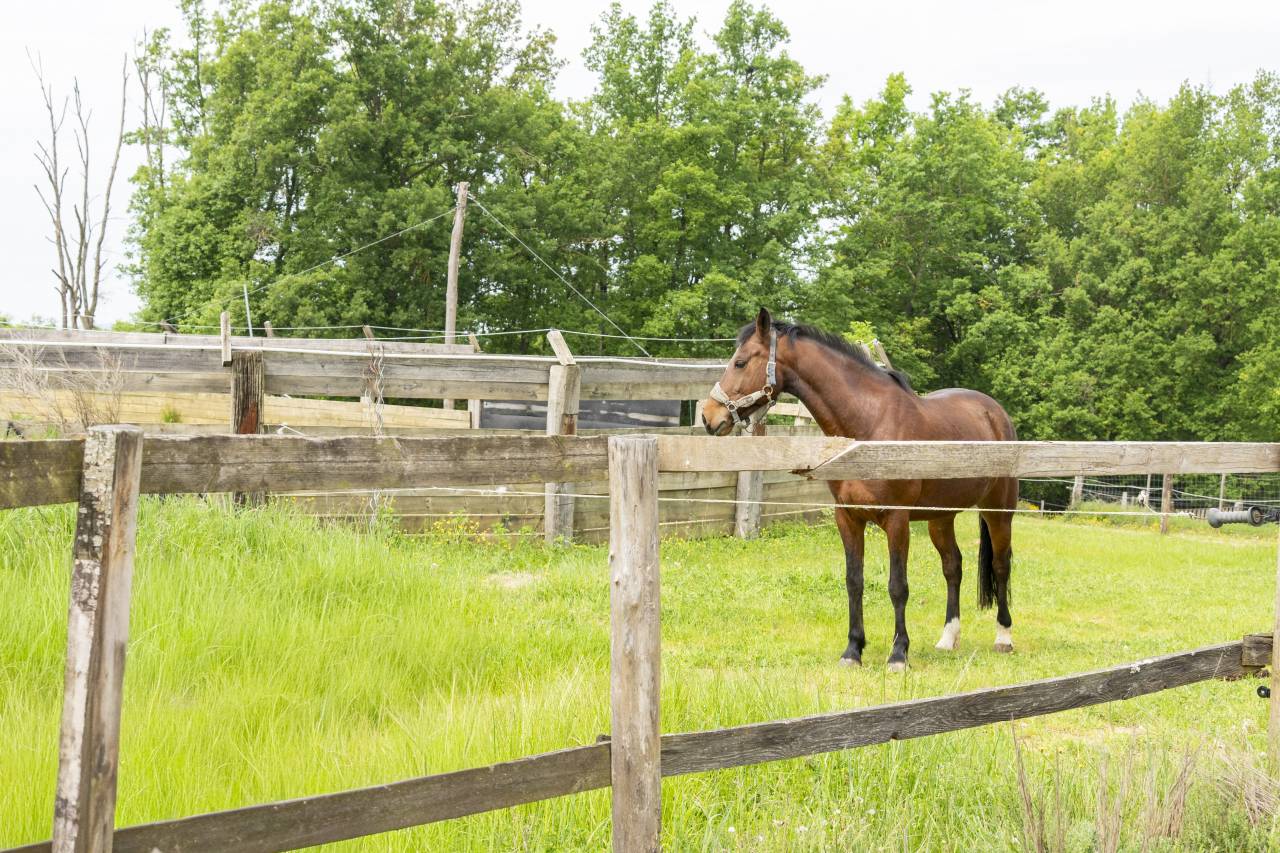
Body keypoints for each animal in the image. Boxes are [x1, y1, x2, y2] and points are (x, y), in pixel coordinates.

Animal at [701, 308, 1018, 671]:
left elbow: (898, 586)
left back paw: (1004, 637)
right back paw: (948, 639)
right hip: (940, 518)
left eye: (740, 362)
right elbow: (854, 581)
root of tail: (994, 412)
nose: (709, 416)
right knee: (953, 566)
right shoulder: (848, 518)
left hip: (998, 510)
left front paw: (898, 654)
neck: (869, 426)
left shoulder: (896, 520)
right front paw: (853, 650)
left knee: (1001, 565)